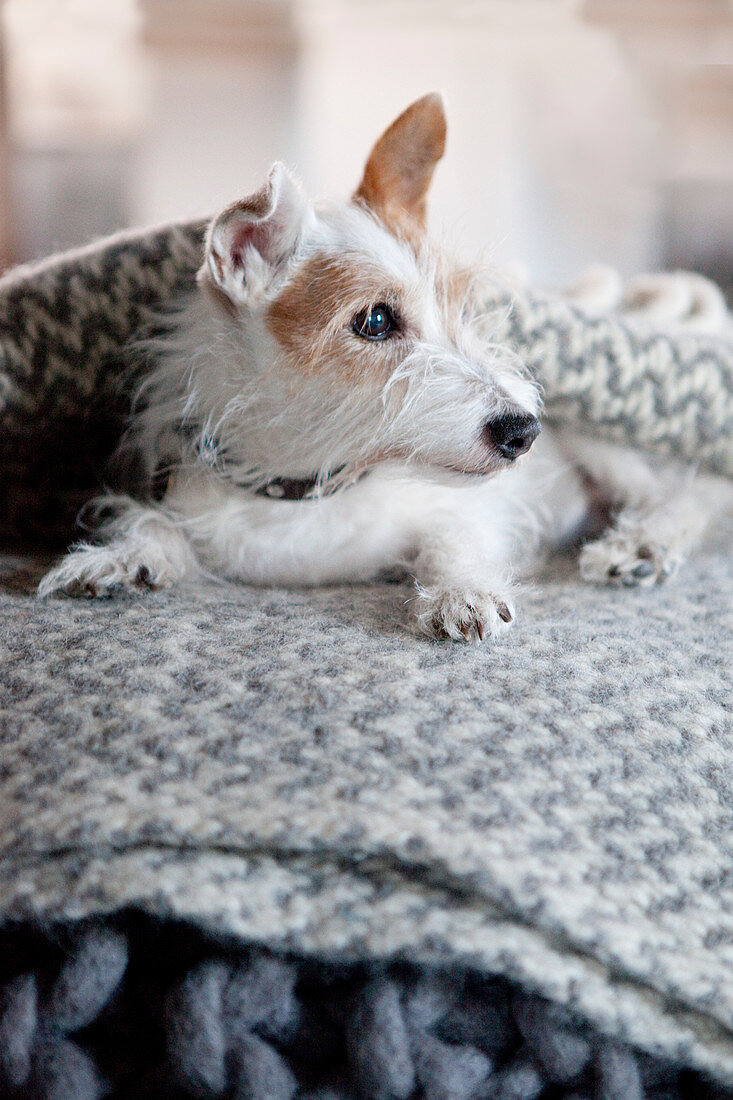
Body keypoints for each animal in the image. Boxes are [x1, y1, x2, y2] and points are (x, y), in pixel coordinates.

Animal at [37, 96, 704, 642]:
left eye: (463, 307)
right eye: (376, 321)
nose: (525, 432)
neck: (305, 487)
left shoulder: (474, 508)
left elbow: (453, 534)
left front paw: (462, 591)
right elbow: (154, 521)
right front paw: (122, 558)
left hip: (606, 438)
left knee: (684, 497)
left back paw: (642, 544)